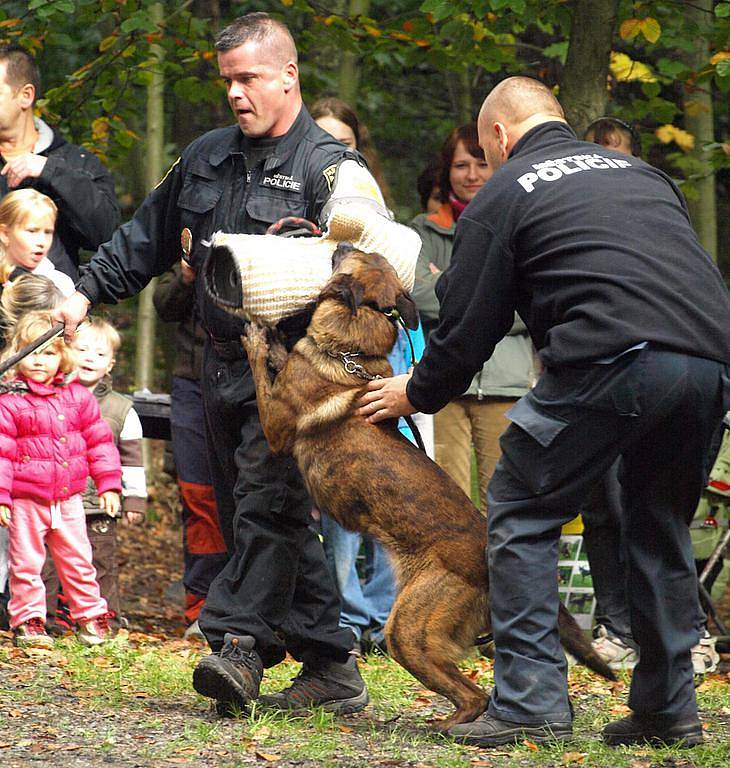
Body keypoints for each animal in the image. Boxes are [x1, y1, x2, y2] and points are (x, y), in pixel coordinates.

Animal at [230, 246, 612, 732]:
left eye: (352, 256)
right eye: (369, 256)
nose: (340, 243)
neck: (350, 348)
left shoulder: (277, 426)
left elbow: (264, 376)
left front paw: (256, 340)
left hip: (407, 630)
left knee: (473, 695)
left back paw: (450, 728)